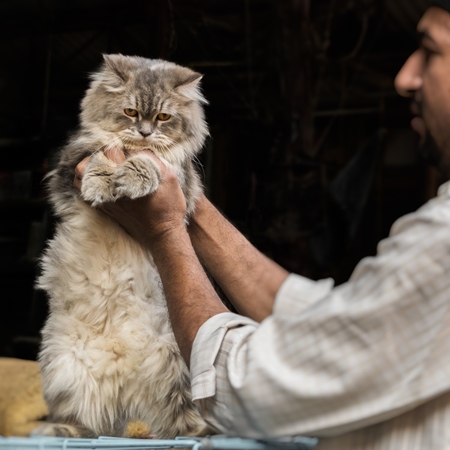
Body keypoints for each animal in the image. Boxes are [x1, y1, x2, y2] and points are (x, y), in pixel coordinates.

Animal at [33, 53, 213, 440]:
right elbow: (99, 154)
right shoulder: (68, 166)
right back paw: (57, 432)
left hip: (181, 366)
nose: (144, 132)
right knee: (82, 421)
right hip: (65, 369)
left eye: (163, 118)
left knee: (187, 422)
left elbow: (149, 162)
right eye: (131, 112)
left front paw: (130, 177)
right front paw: (101, 185)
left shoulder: (181, 179)